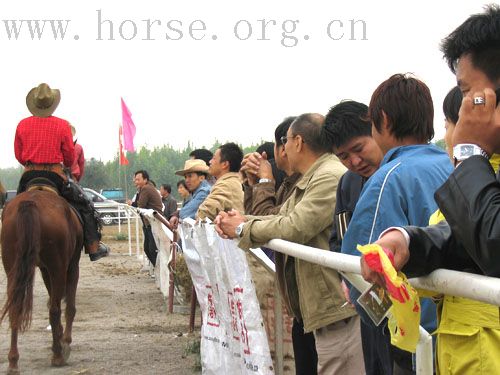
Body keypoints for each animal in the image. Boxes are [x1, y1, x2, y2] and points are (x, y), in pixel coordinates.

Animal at [1, 189, 83, 374]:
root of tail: (30, 203)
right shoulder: (71, 266)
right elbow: (69, 307)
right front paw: (65, 341)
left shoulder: (45, 270)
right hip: (58, 267)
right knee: (55, 310)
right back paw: (58, 355)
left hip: (12, 269)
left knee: (15, 308)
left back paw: (13, 362)